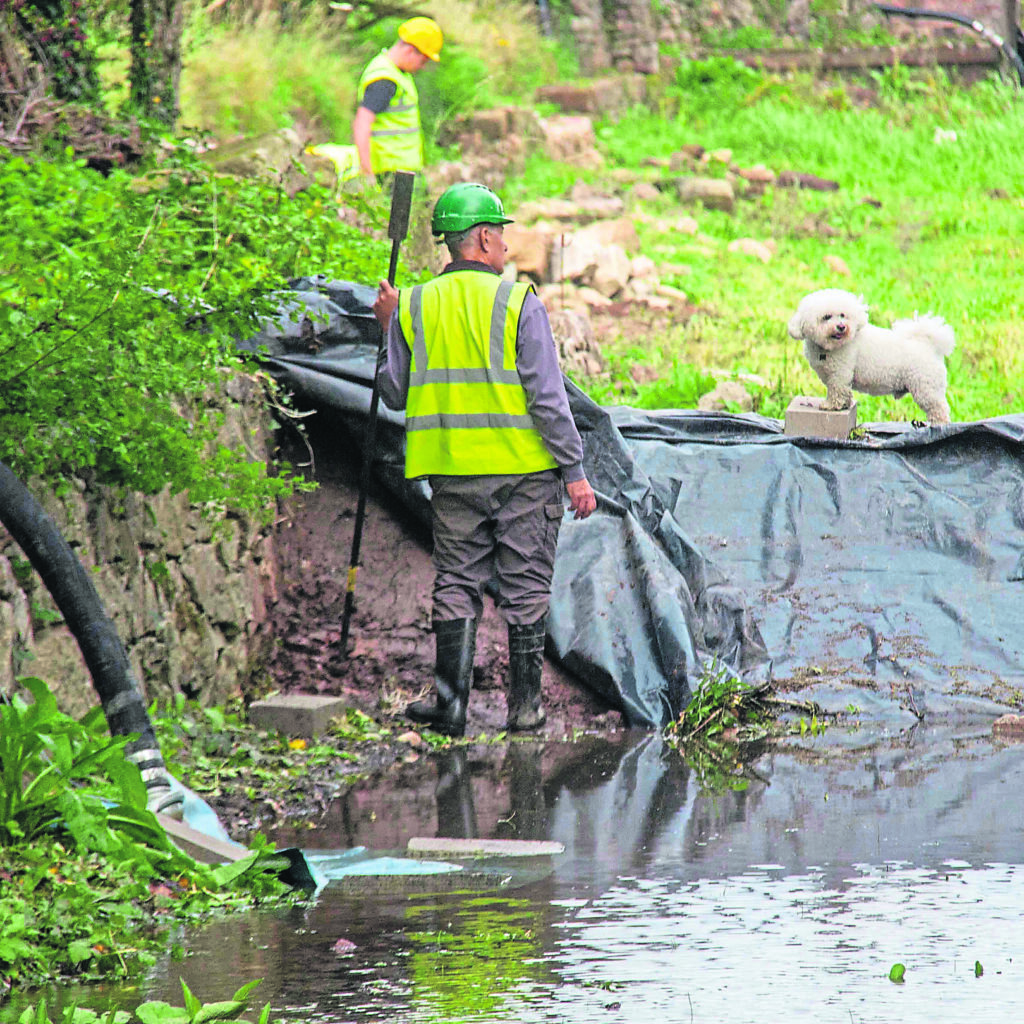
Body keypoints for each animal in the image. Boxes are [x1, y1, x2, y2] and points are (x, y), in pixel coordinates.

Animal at [786, 288, 954, 423]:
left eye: (842, 315)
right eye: (826, 317)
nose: (841, 327)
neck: (831, 348)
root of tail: (929, 346)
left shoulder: (839, 374)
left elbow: (836, 391)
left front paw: (831, 406)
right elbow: (845, 392)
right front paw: (845, 405)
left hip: (926, 387)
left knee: (939, 409)